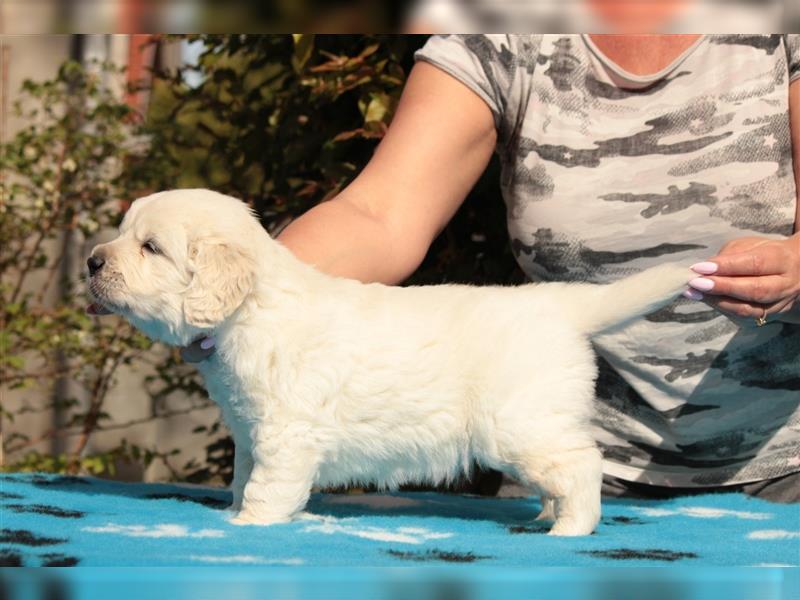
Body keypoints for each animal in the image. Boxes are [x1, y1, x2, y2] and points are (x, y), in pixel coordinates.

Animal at [87, 190, 692, 536]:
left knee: (583, 465)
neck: (250, 308)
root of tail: (562, 305)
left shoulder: (286, 433)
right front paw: (233, 513)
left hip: (520, 424)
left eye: (150, 247)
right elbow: (241, 476)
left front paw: (250, 526)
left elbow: (265, 486)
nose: (92, 261)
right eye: (122, 234)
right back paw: (549, 513)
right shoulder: (249, 430)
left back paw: (570, 530)